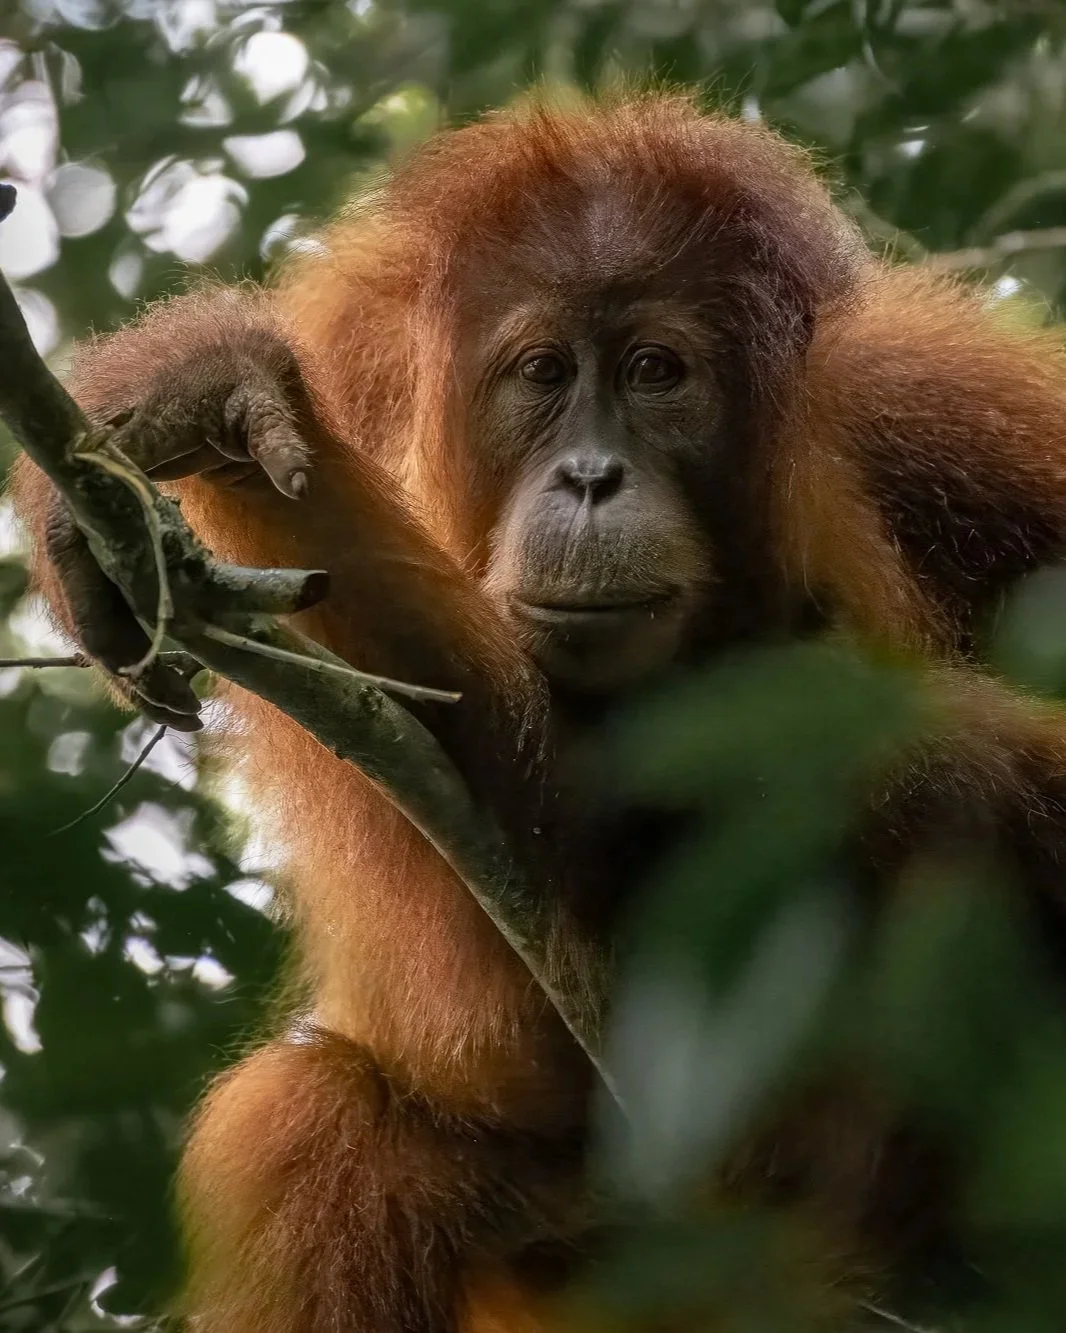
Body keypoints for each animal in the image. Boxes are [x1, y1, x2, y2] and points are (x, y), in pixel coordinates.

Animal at [13, 89, 1066, 1331]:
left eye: (656, 370)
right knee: (316, 1116)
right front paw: (207, 398)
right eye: (544, 373)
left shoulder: (950, 416)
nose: (591, 477)